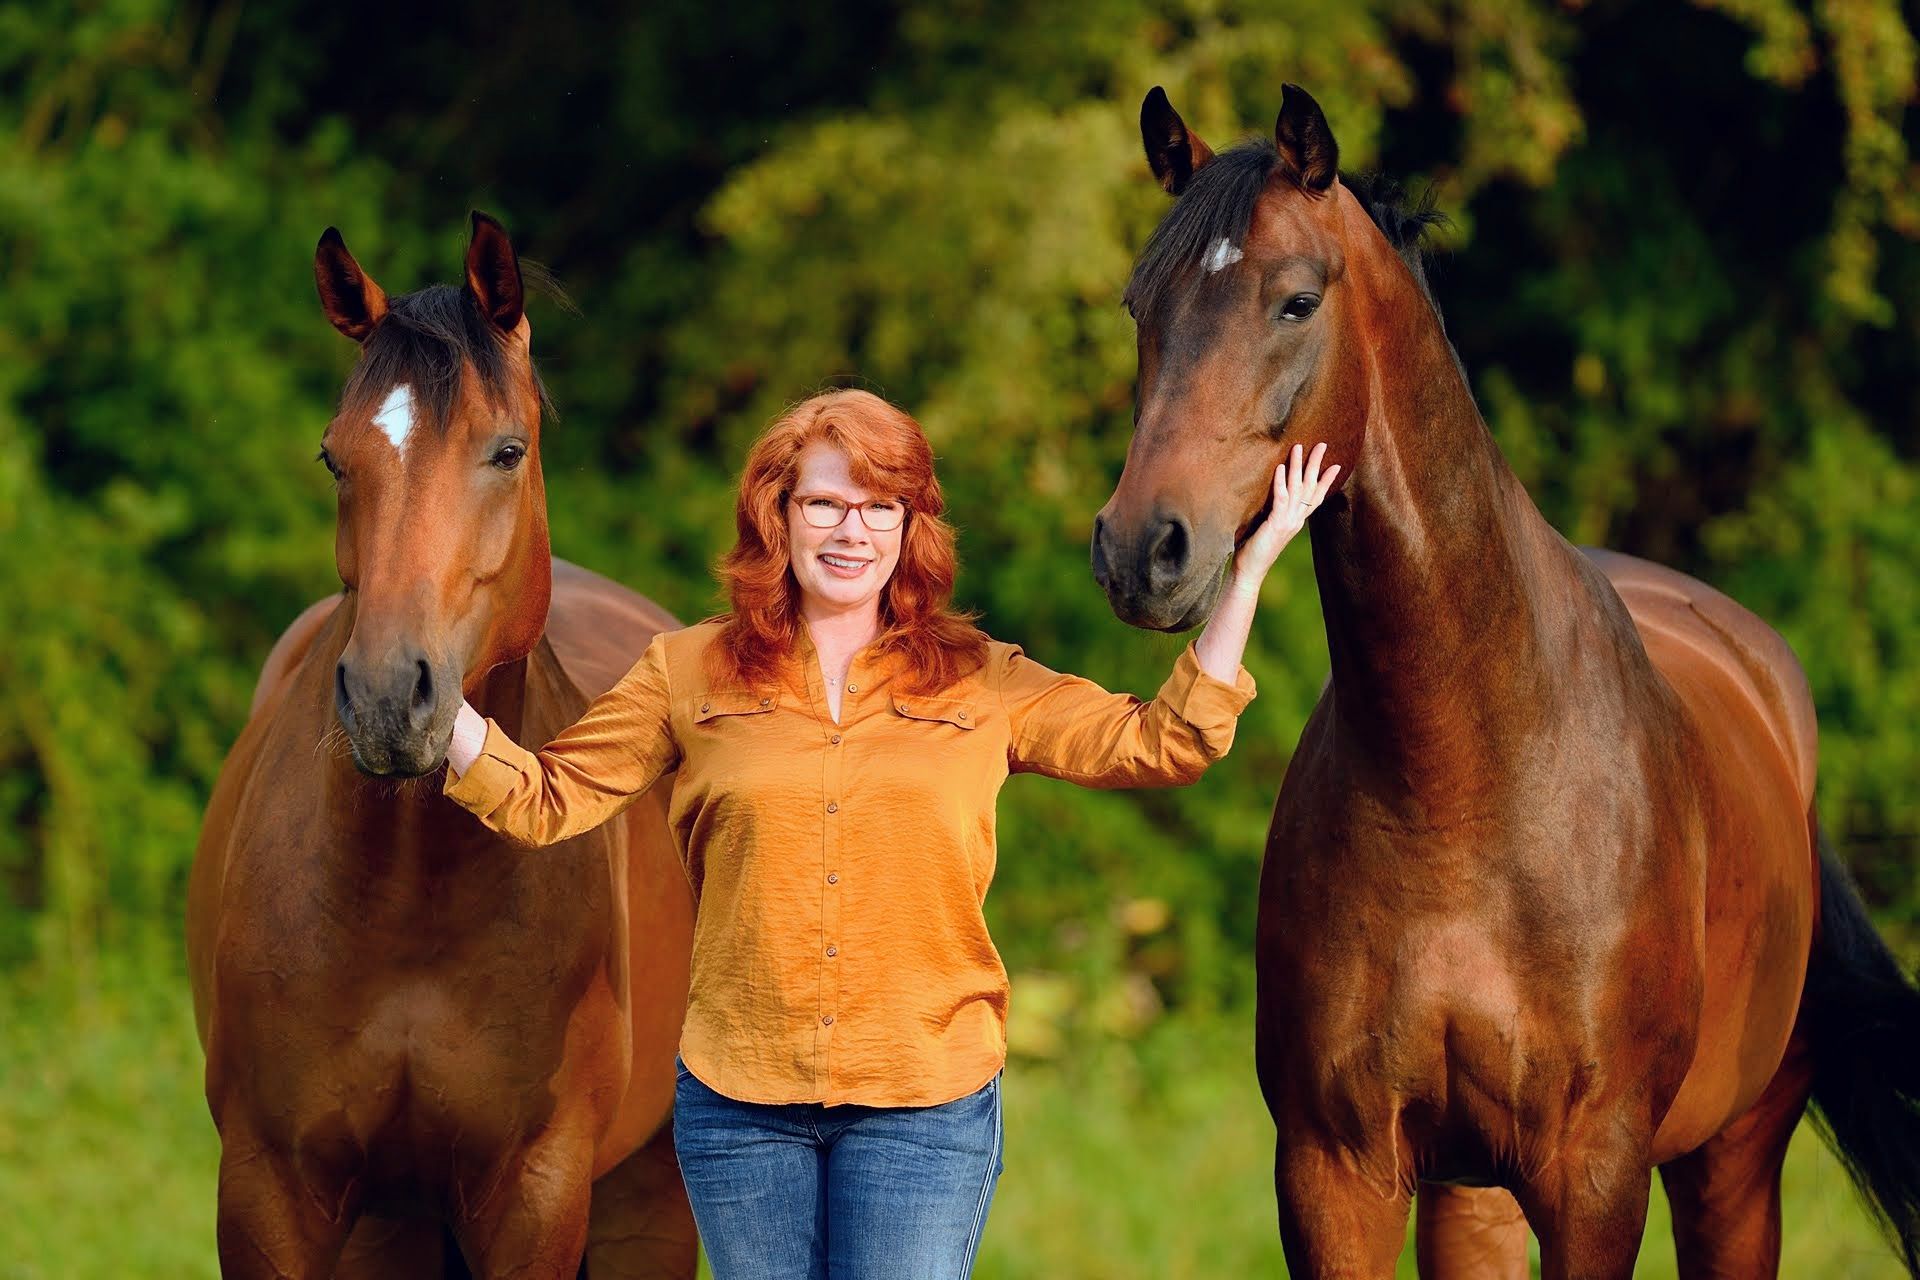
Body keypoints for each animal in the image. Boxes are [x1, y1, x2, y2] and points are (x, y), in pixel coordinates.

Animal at [187, 213, 698, 1278]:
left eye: (507, 450)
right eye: (334, 458)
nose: (390, 699)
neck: (412, 897)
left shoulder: (537, 1195)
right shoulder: (268, 1188)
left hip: (650, 1200)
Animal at [1092, 85, 1920, 1278]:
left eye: (1295, 301)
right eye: (1138, 307)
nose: (1141, 550)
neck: (1463, 780)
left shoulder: (1594, 1175)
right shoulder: (1334, 1171)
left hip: (1731, 1164)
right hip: (1470, 1193)